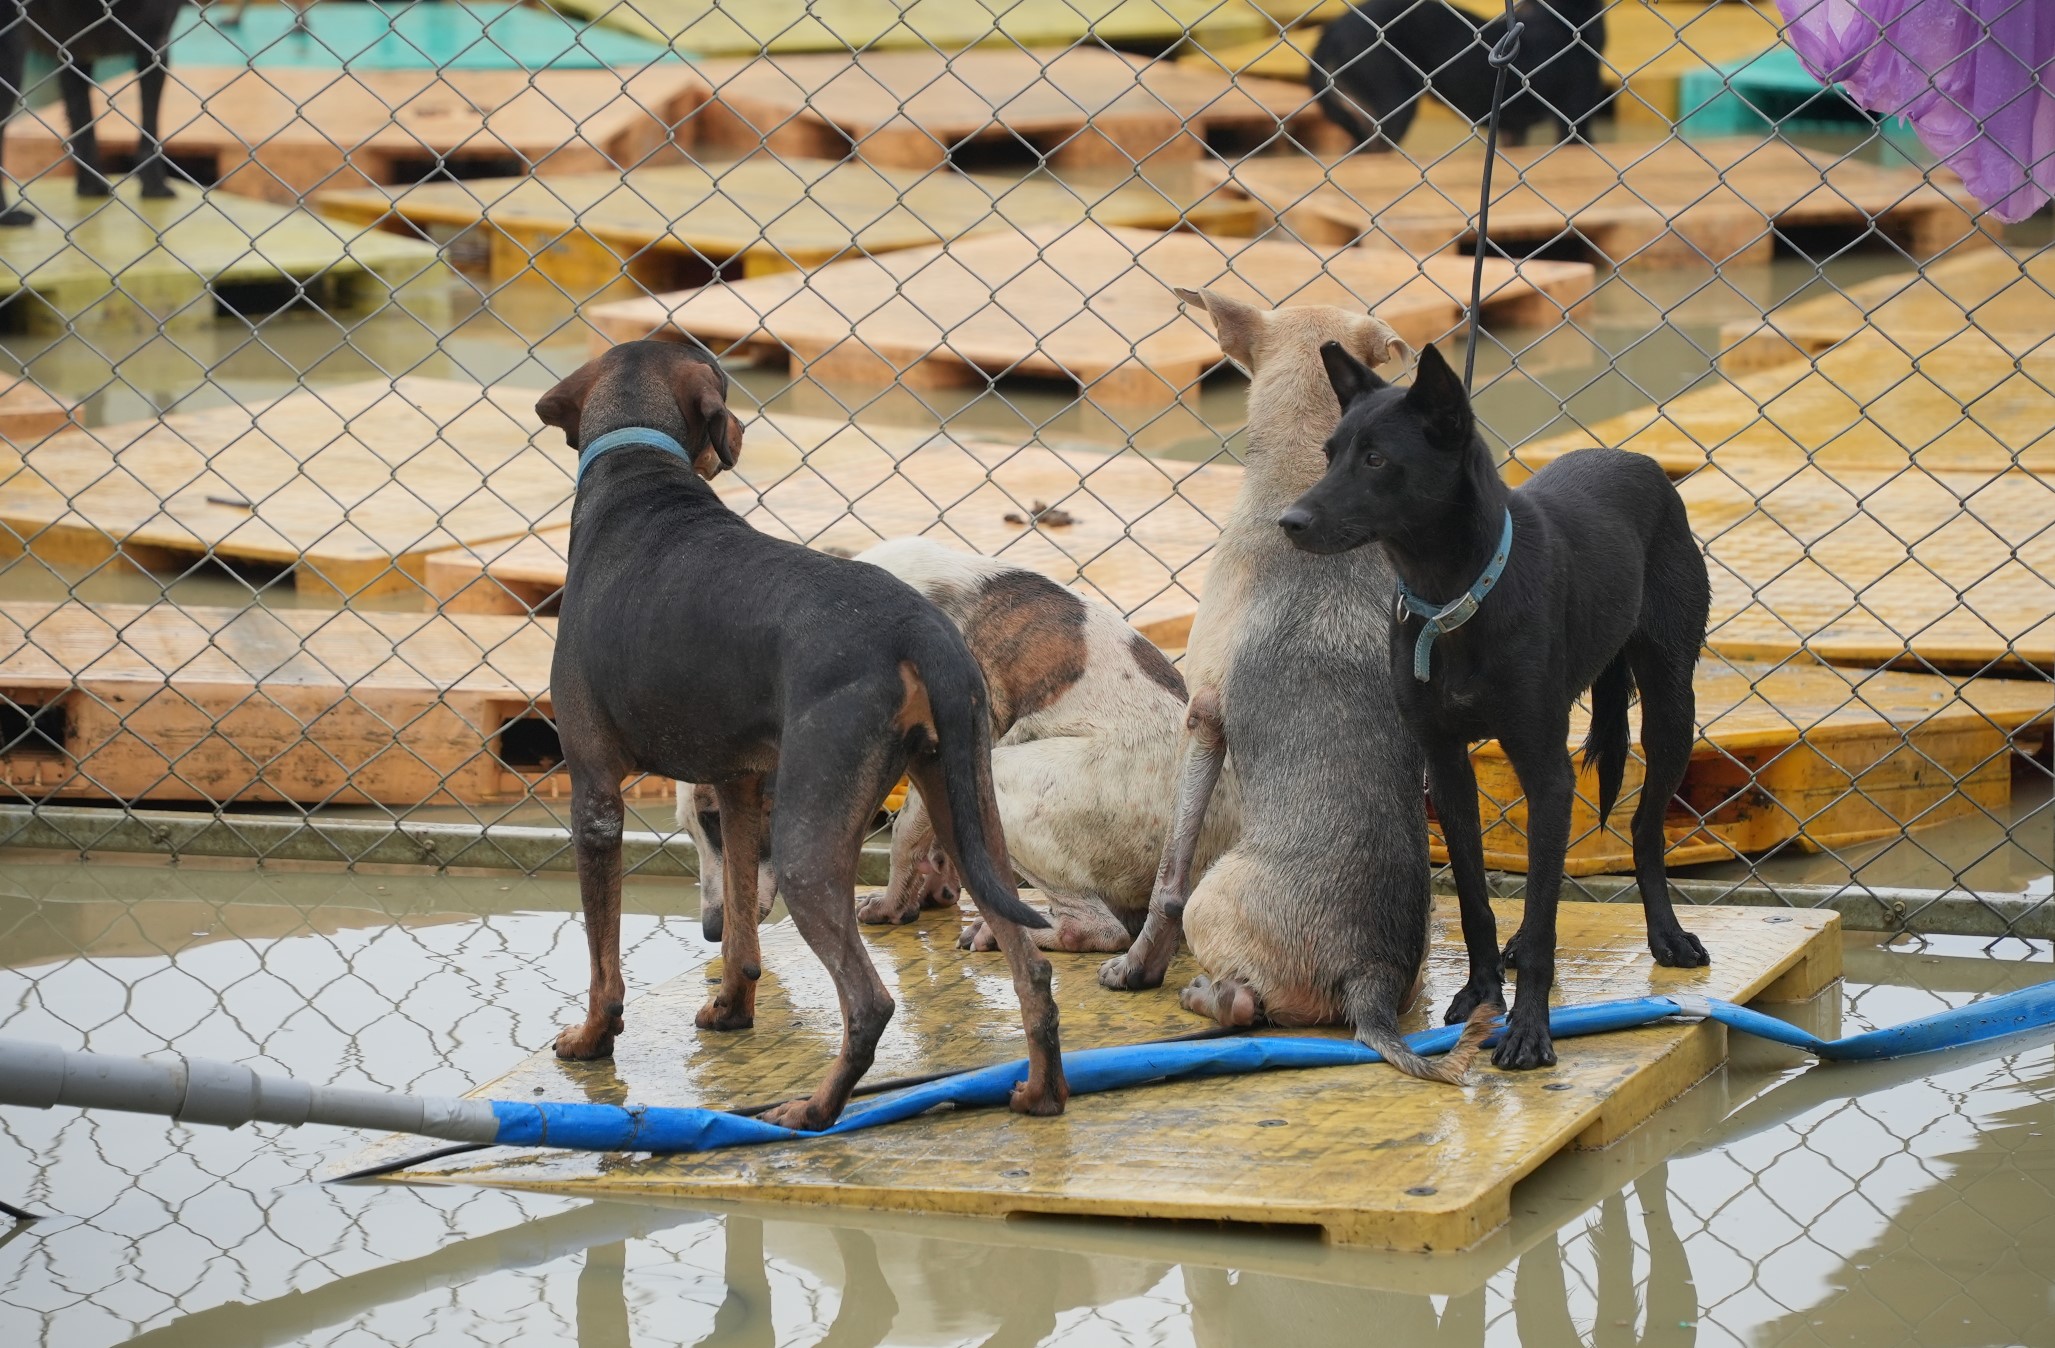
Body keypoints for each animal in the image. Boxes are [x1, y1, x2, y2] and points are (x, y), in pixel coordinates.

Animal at [538, 337, 1068, 1126]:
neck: (638, 469)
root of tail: (919, 628)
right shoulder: (736, 786)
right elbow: (740, 931)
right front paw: (731, 1010)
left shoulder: (595, 792)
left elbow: (605, 958)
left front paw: (591, 1038)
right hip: (966, 807)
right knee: (1030, 967)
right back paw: (1041, 1093)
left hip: (807, 844)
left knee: (870, 1002)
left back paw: (814, 1111)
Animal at [1274, 345, 1709, 1076]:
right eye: (1329, 453)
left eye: (1376, 459)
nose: (1289, 523)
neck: (1453, 597)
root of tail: (1633, 459)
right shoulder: (1446, 766)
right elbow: (1477, 899)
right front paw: (1481, 993)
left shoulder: (1545, 772)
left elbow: (1542, 913)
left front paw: (1529, 1030)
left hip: (1673, 706)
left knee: (1644, 832)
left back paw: (1667, 935)